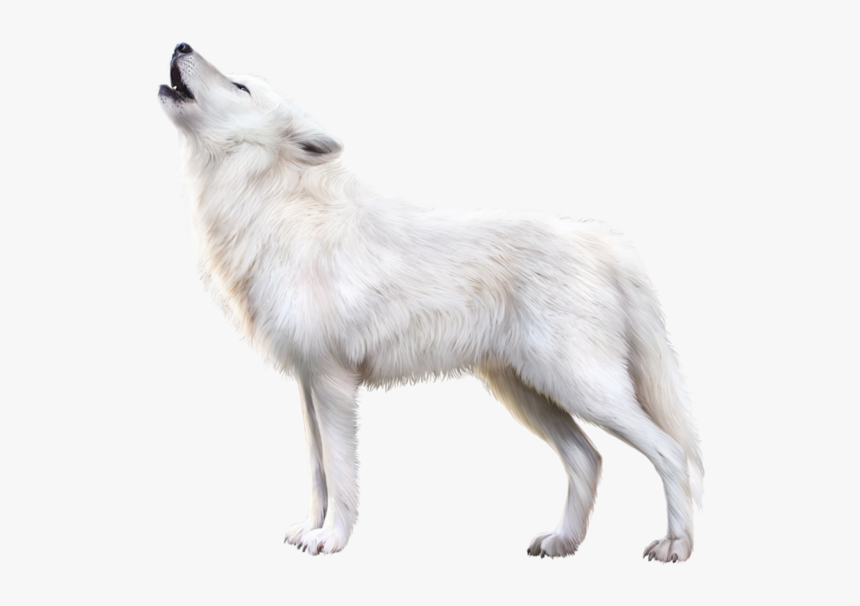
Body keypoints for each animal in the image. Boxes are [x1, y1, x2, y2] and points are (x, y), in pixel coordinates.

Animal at [159, 42, 703, 561]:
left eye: (240, 86)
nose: (181, 44)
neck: (274, 209)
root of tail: (600, 241)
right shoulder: (307, 382)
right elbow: (317, 474)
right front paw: (310, 529)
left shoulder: (332, 381)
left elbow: (340, 471)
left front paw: (331, 539)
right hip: (529, 392)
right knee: (588, 458)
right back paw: (562, 542)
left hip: (580, 387)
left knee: (669, 450)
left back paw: (675, 545)